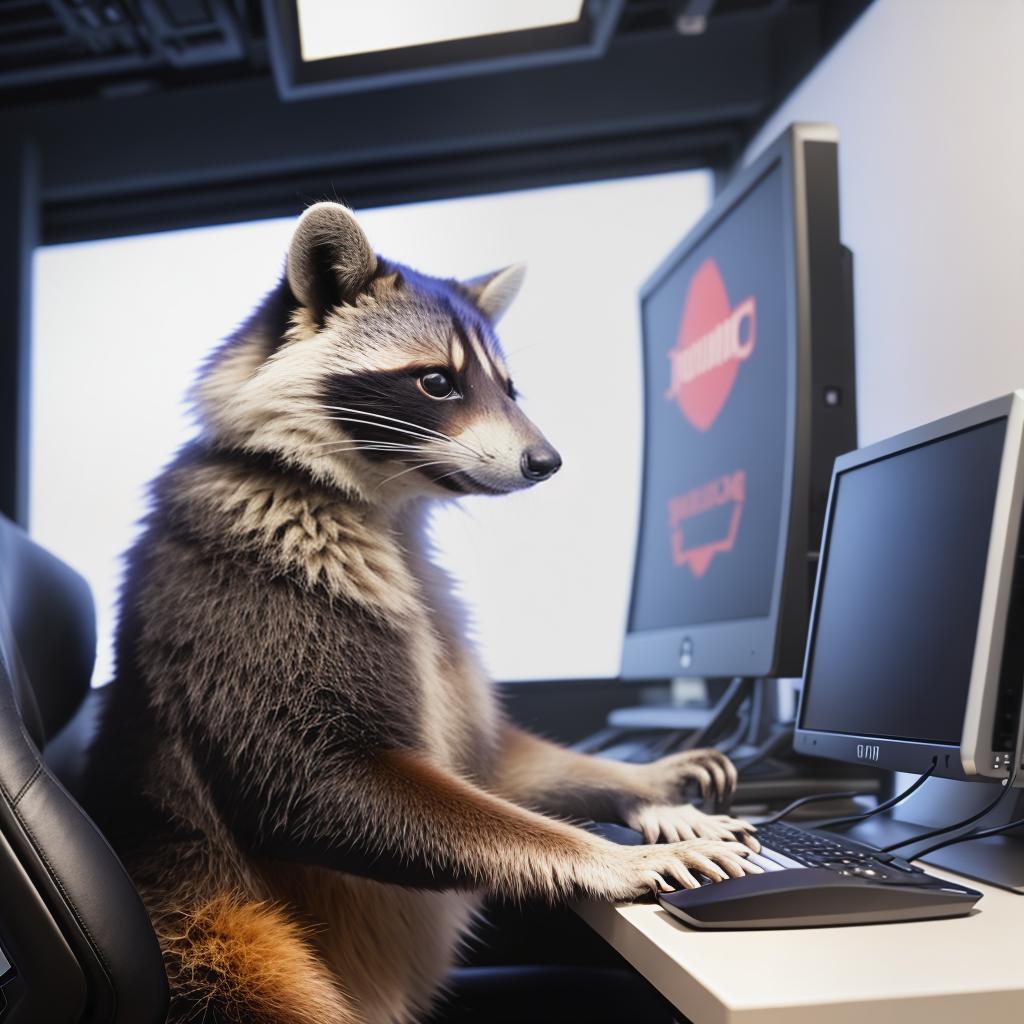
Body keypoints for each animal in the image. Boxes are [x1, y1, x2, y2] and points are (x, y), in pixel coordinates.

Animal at [86, 201, 761, 1024]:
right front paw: (608, 853)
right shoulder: (237, 594)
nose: (547, 462)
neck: (389, 501)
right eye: (437, 381)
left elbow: (491, 762)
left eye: (511, 388)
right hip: (223, 937)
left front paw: (646, 782)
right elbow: (312, 783)